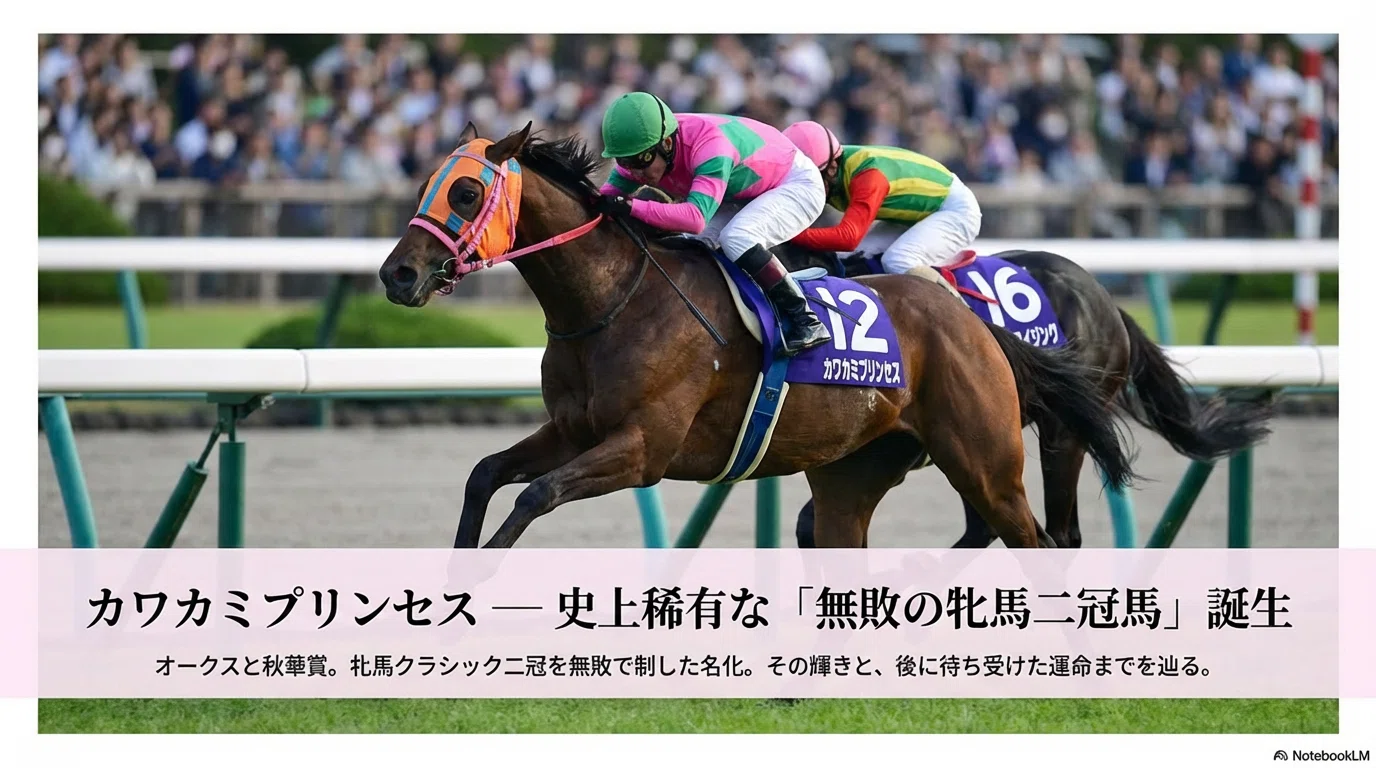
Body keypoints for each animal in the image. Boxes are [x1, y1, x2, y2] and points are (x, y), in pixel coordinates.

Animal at [377, 121, 1142, 550]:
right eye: (424, 185)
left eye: (467, 193)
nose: (396, 274)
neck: (614, 301)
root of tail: (969, 321)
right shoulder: (572, 430)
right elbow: (484, 476)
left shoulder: (643, 449)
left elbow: (534, 497)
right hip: (857, 468)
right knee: (840, 539)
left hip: (991, 458)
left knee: (1042, 538)